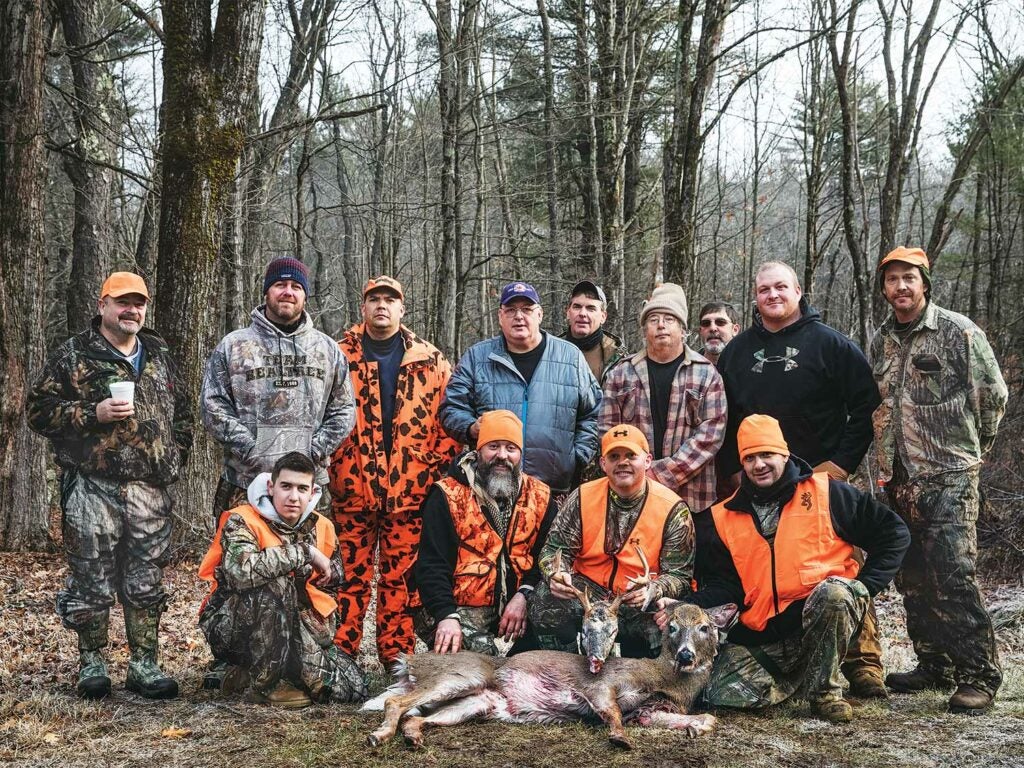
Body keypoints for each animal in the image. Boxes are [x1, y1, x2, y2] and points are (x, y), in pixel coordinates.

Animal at [364, 602, 733, 753]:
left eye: (705, 627)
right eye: (672, 627)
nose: (685, 656)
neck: (665, 680)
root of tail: (409, 662)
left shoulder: (649, 711)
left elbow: (710, 718)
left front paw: (694, 729)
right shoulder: (603, 683)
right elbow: (612, 711)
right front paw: (619, 738)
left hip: (477, 701)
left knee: (414, 716)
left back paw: (412, 738)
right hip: (460, 676)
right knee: (396, 701)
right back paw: (378, 736)